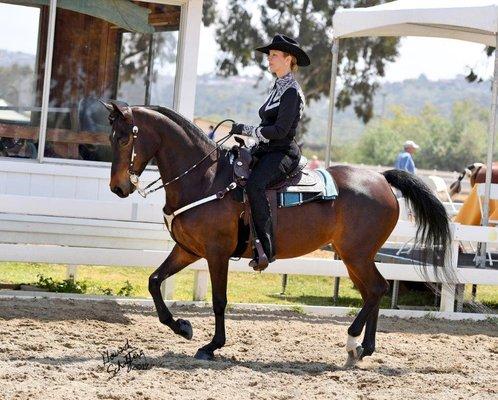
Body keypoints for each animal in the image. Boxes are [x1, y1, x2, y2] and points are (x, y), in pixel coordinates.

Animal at [102, 102, 452, 366]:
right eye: (111, 137)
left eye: (124, 139)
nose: (118, 187)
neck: (207, 178)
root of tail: (381, 179)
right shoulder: (188, 250)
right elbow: (154, 281)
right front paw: (182, 327)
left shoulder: (216, 253)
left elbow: (219, 300)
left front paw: (212, 345)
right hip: (354, 257)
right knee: (373, 291)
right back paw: (363, 348)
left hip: (357, 254)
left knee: (377, 288)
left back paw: (353, 341)